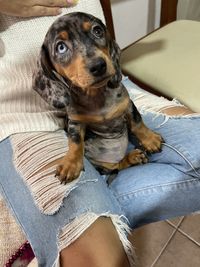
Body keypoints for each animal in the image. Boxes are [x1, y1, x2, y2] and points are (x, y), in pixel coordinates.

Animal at [32, 12, 163, 184]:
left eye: (97, 31)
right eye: (61, 47)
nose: (98, 66)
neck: (96, 96)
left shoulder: (127, 105)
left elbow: (137, 123)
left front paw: (150, 139)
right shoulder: (75, 122)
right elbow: (75, 142)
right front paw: (70, 164)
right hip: (100, 164)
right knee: (115, 166)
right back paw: (131, 158)